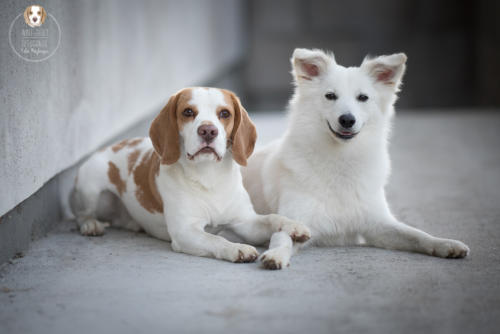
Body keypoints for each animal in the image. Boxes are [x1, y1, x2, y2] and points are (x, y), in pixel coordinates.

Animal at [70, 87, 310, 264]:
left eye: (225, 113)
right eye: (188, 112)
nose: (208, 131)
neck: (209, 177)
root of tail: (110, 146)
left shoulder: (245, 222)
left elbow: (272, 218)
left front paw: (295, 226)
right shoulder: (186, 232)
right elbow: (215, 238)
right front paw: (237, 249)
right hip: (90, 186)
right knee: (82, 214)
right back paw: (91, 225)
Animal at [244, 49, 470, 268]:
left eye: (363, 97)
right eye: (330, 96)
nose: (347, 119)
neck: (341, 159)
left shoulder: (379, 224)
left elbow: (416, 234)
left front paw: (444, 244)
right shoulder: (297, 220)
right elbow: (283, 238)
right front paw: (276, 255)